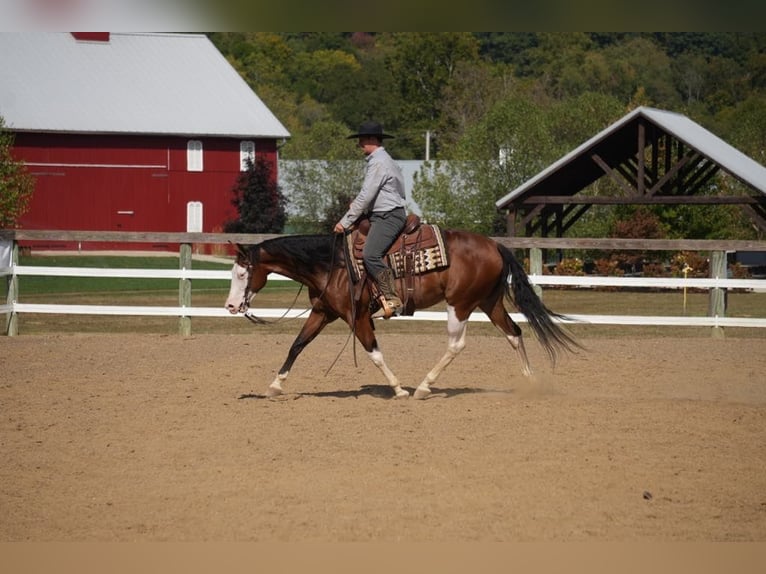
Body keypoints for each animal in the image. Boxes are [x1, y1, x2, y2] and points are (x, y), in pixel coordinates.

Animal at [224, 228, 584, 400]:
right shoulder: (324, 312)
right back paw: (531, 383)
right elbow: (297, 345)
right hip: (489, 302)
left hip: (460, 304)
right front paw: (275, 385)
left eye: (241, 273)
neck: (331, 265)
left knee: (457, 345)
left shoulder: (357, 318)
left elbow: (374, 353)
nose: (230, 306)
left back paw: (424, 387)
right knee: (514, 333)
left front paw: (398, 389)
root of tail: (495, 245)